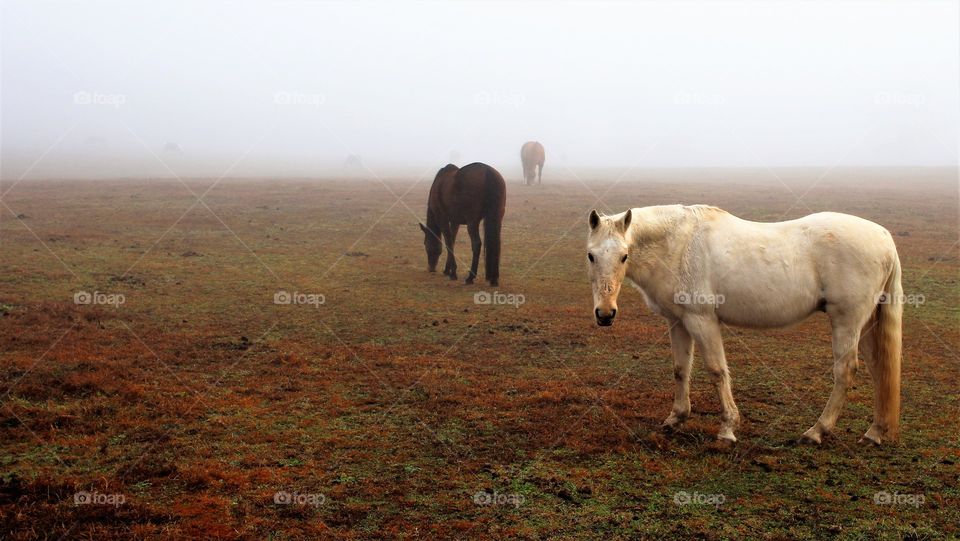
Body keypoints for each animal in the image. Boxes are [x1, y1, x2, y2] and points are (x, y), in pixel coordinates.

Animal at [588, 205, 904, 446]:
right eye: (591, 255)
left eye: (624, 255)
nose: (605, 314)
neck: (678, 244)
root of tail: (885, 238)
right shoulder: (678, 321)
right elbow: (681, 370)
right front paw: (675, 418)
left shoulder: (702, 320)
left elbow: (717, 371)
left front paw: (728, 429)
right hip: (866, 325)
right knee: (880, 369)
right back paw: (874, 432)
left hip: (846, 321)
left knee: (845, 370)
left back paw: (816, 432)